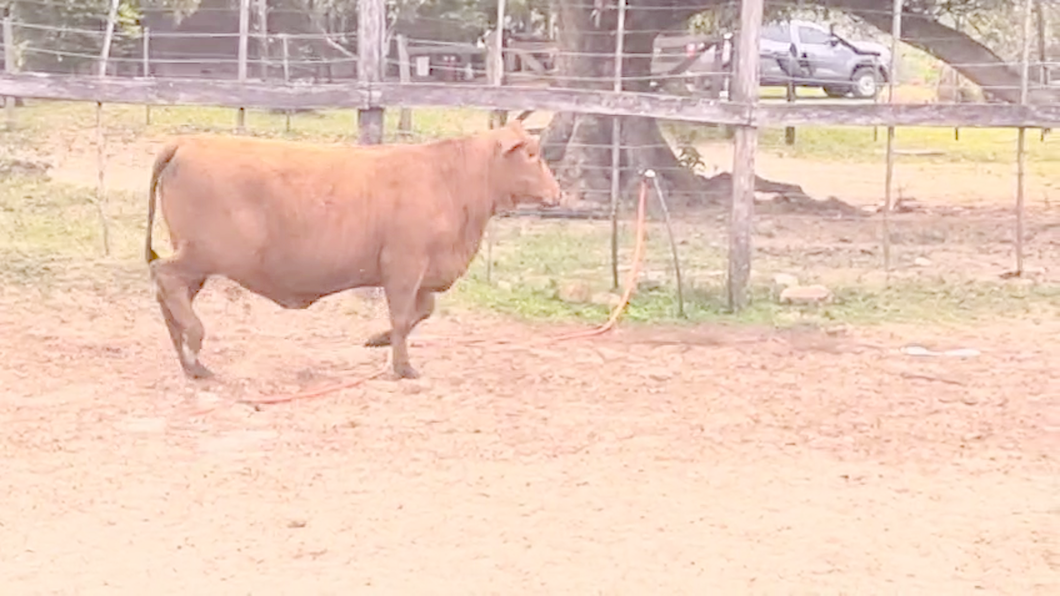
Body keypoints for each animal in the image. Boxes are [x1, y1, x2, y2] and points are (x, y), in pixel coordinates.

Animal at [149, 120, 568, 377]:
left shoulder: (422, 273)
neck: (449, 178)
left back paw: (190, 361)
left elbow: (421, 312)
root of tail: (186, 142)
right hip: (205, 254)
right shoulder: (404, 265)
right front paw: (402, 367)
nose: (558, 194)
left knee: (170, 295)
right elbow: (403, 315)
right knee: (164, 277)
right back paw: (194, 341)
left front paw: (377, 340)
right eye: (532, 154)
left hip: (197, 262)